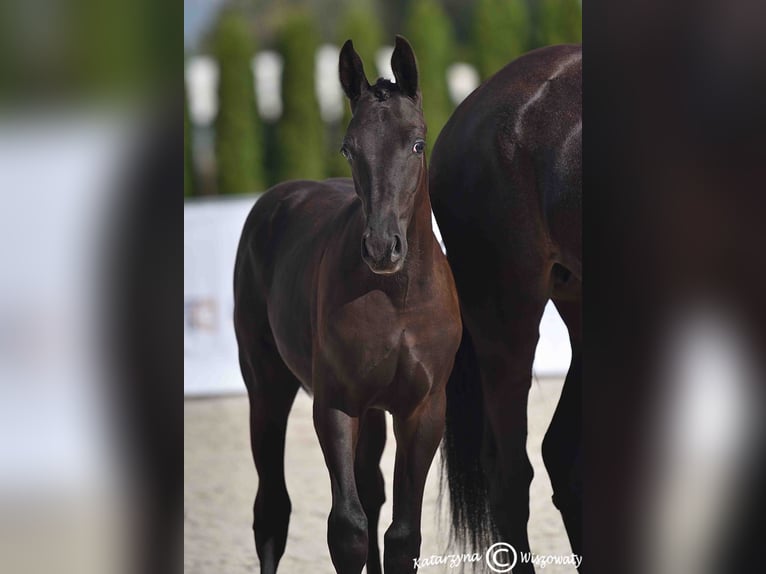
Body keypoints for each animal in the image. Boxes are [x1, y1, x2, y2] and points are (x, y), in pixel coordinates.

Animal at [233, 36, 461, 574]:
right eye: (348, 148)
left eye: (417, 143)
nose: (381, 247)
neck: (398, 299)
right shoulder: (335, 404)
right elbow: (348, 529)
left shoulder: (423, 411)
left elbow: (401, 534)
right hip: (267, 389)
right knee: (271, 509)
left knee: (372, 492)